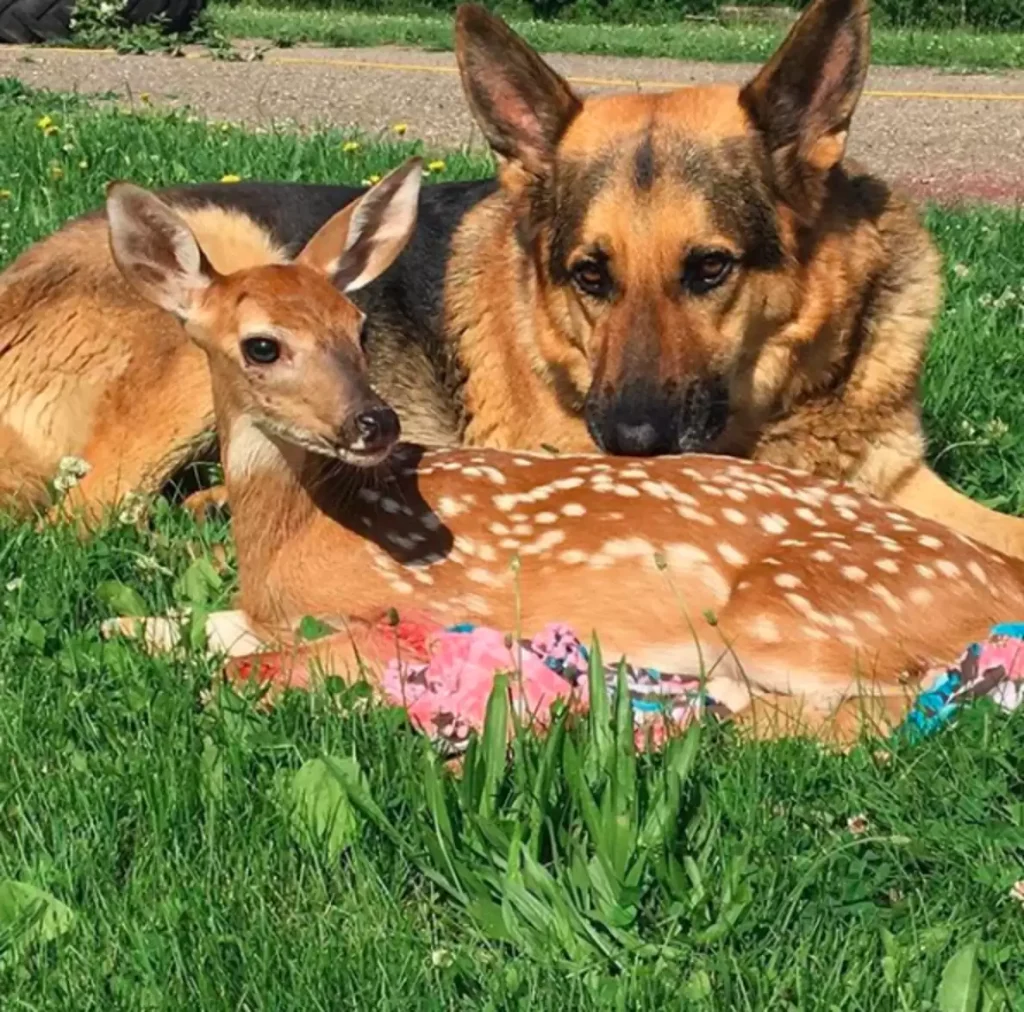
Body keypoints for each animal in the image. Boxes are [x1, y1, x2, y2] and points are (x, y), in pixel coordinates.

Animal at [2, 0, 1024, 553]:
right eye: (588, 275)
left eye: (711, 268)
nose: (630, 440)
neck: (778, 409)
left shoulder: (902, 482)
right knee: (86, 514)